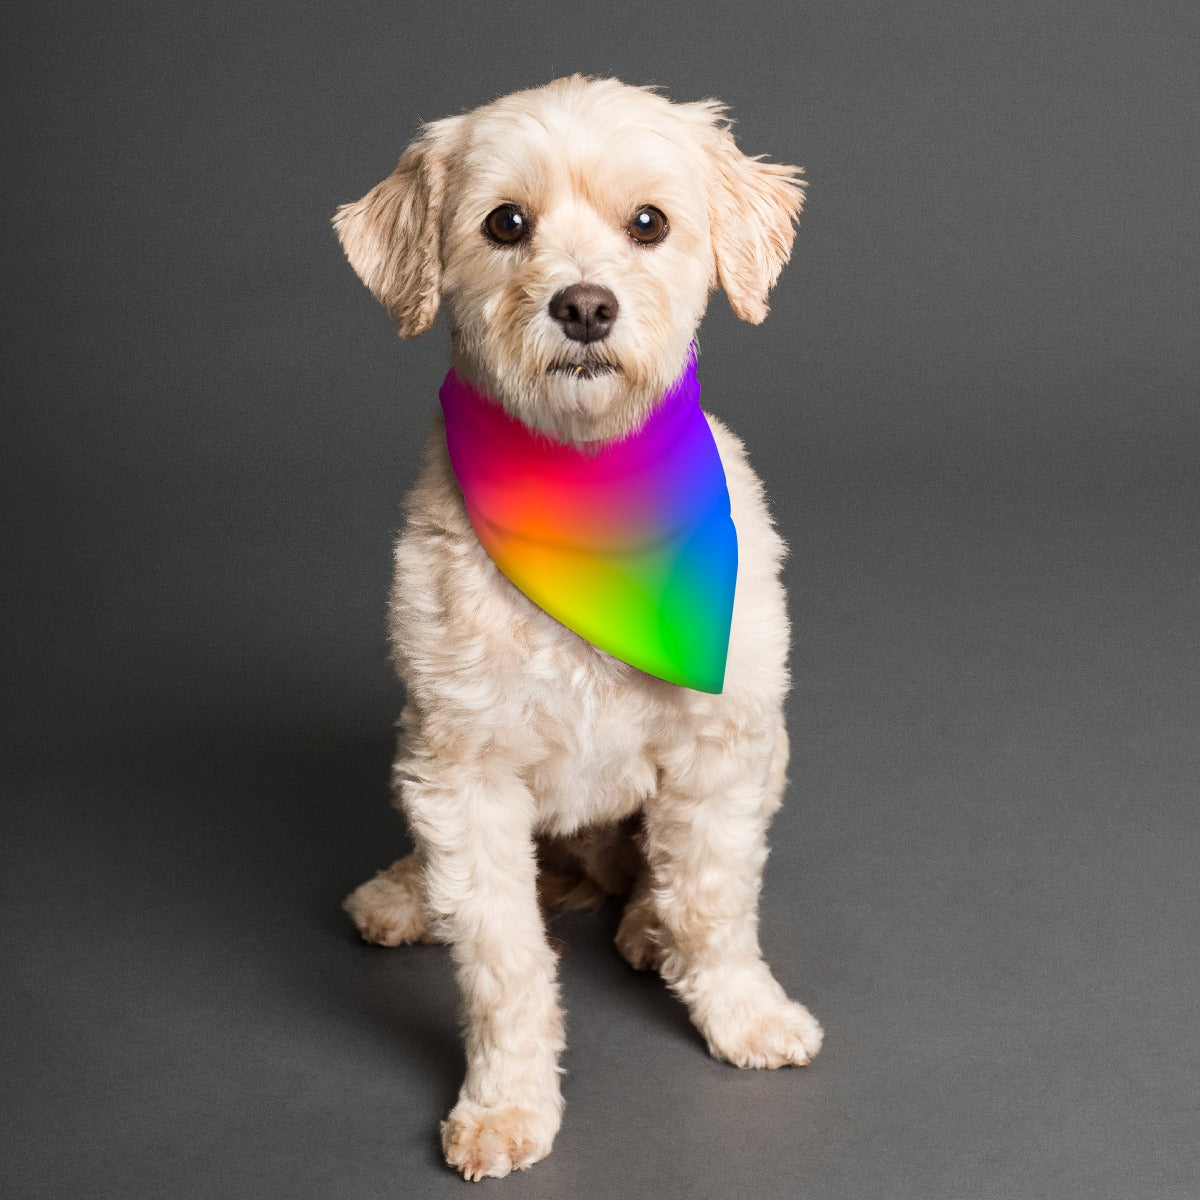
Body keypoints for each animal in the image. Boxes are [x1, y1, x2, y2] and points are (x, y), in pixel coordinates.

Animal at [338, 77, 825, 1180]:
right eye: (504, 224)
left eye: (648, 223)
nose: (586, 306)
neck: (583, 482)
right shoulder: (463, 772)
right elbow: (500, 959)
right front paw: (506, 1101)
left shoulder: (724, 747)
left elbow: (712, 900)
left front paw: (741, 1011)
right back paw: (404, 894)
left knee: (658, 879)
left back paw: (644, 925)